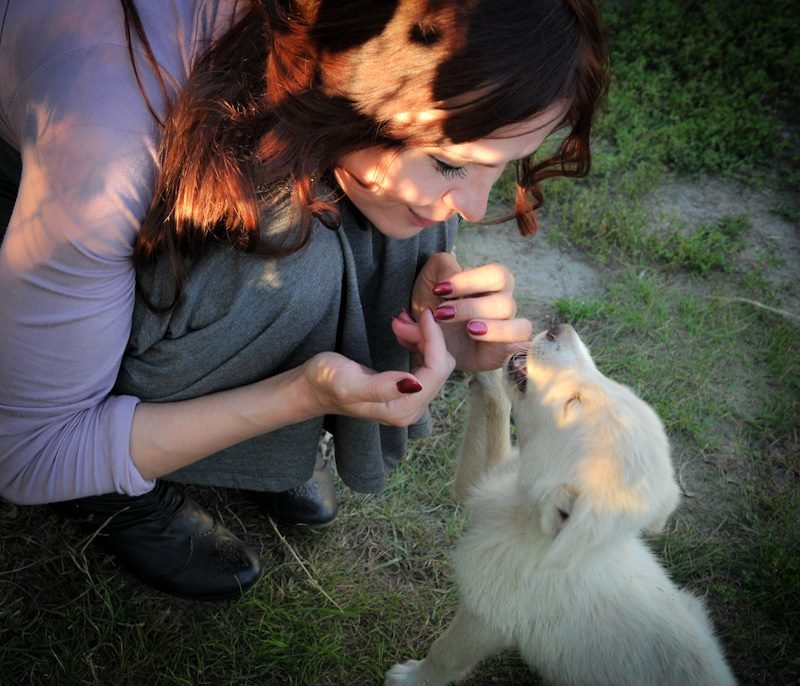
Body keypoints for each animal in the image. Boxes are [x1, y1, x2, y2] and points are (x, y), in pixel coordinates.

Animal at [384, 326, 736, 684]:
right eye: (613, 385)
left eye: (573, 402)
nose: (559, 330)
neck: (528, 522)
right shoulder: (484, 480)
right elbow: (495, 406)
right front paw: (484, 356)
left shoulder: (487, 616)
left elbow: (445, 655)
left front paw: (411, 679)